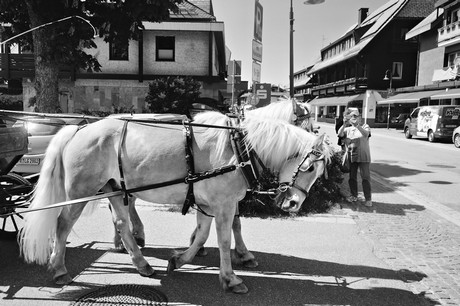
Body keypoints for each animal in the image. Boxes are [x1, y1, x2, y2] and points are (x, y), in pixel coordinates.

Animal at [18, 110, 330, 294]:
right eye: (310, 168)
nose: (294, 204)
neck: (237, 146)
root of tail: (80, 129)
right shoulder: (223, 204)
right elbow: (225, 239)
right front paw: (231, 277)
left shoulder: (209, 203)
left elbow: (203, 234)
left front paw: (180, 259)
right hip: (81, 191)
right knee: (62, 224)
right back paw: (59, 269)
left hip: (115, 190)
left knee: (121, 223)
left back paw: (141, 263)